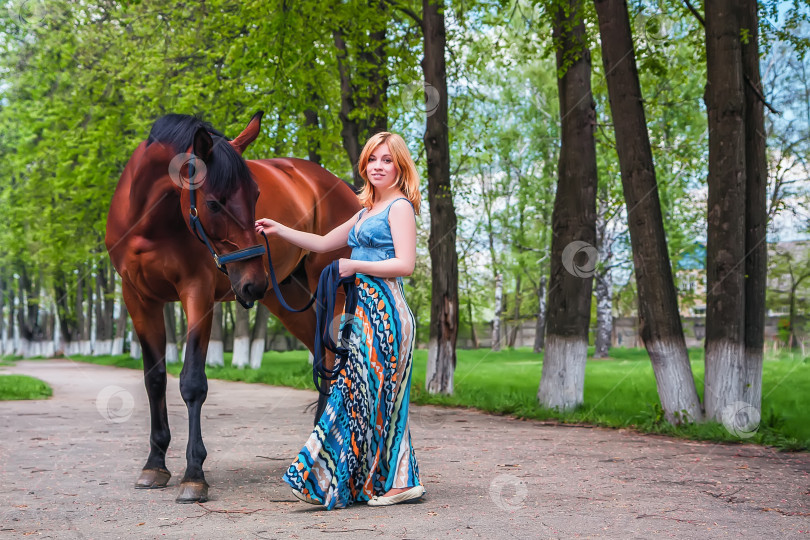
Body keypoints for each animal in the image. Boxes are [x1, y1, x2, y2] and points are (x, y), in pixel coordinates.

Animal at [105, 112, 358, 504]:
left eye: (256, 195)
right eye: (214, 203)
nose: (252, 283)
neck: (150, 222)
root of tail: (339, 186)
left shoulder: (198, 294)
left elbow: (193, 383)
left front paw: (194, 475)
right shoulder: (138, 298)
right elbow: (155, 379)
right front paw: (154, 465)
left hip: (326, 289)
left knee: (332, 363)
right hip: (288, 298)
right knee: (322, 360)